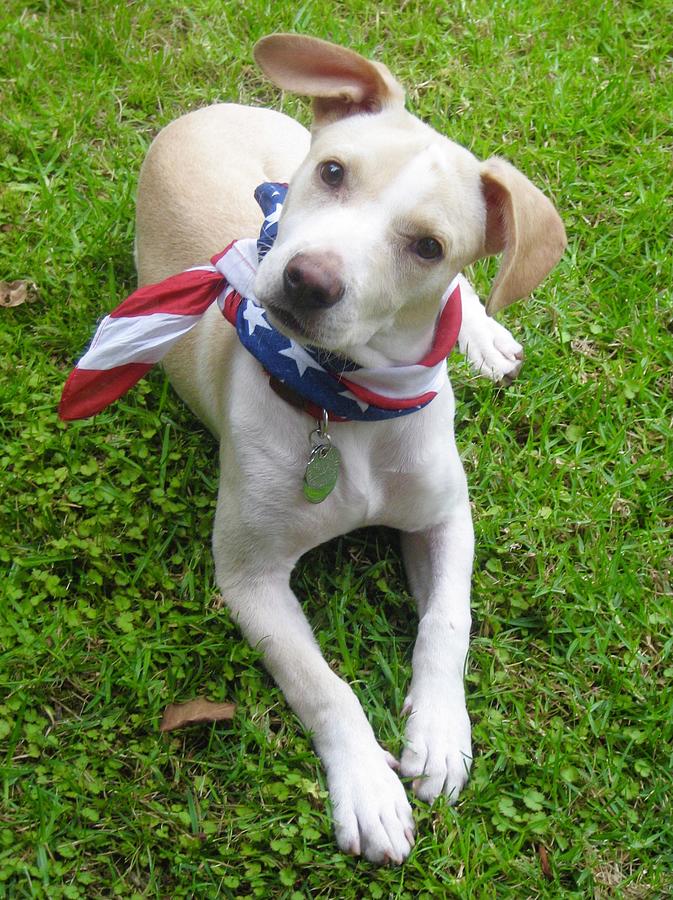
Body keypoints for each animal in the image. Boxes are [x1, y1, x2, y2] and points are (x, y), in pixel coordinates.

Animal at [130, 35, 560, 864]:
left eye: (427, 246)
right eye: (334, 174)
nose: (307, 279)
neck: (347, 404)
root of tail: (205, 112)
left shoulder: (446, 519)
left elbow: (447, 622)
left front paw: (440, 733)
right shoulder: (249, 578)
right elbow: (321, 685)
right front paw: (367, 787)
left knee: (470, 299)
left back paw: (483, 335)